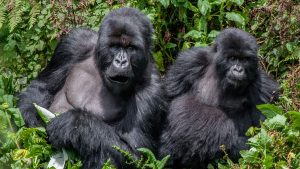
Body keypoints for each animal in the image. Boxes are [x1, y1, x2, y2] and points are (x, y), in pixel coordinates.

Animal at [17, 7, 165, 168]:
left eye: (131, 48)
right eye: (115, 46)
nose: (121, 61)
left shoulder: (152, 92)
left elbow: (136, 155)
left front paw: (72, 123)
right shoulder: (74, 42)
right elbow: (41, 87)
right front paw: (36, 122)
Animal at [159, 27, 278, 168]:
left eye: (244, 60)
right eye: (232, 58)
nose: (238, 69)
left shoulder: (263, 87)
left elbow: (263, 131)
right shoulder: (191, 60)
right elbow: (169, 95)